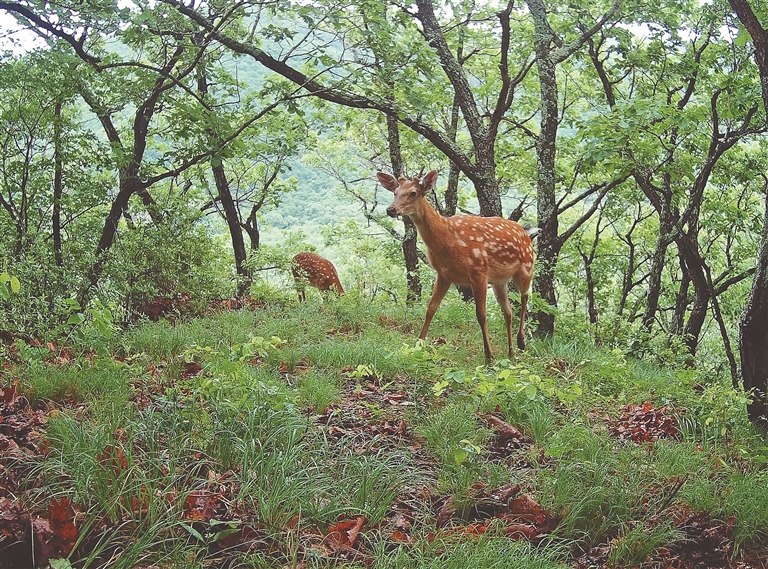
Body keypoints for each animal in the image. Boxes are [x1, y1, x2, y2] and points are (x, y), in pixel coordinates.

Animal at [376, 170, 536, 364]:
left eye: (413, 192)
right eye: (395, 192)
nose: (391, 209)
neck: (447, 239)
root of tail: (526, 233)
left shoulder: (479, 271)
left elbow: (481, 314)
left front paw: (489, 355)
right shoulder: (444, 274)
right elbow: (430, 309)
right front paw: (418, 345)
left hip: (526, 267)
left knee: (525, 297)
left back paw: (521, 342)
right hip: (500, 281)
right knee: (508, 311)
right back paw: (511, 352)